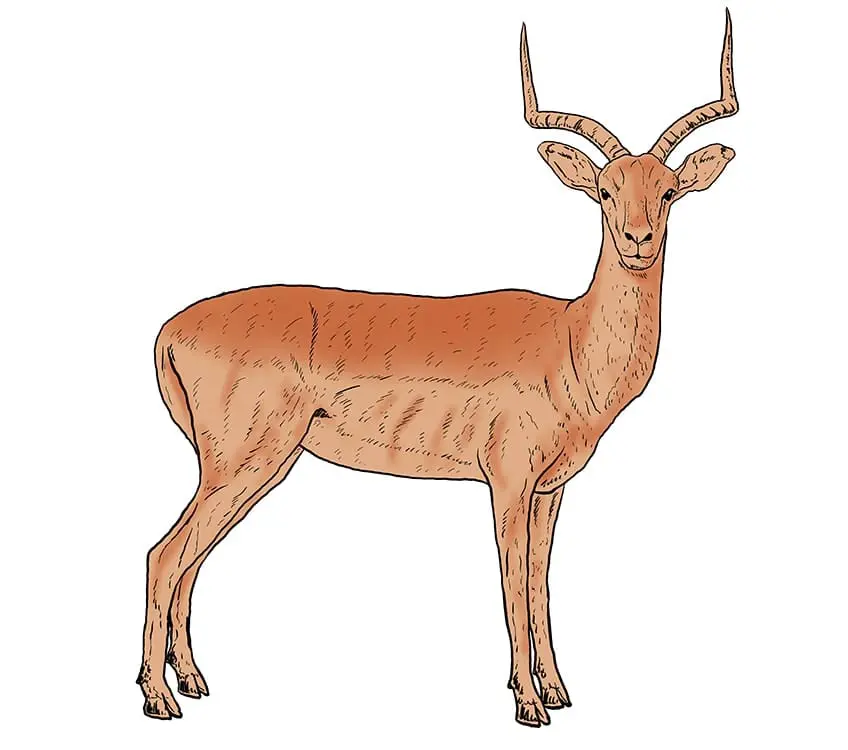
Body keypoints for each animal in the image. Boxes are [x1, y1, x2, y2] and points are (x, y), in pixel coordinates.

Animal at [138, 11, 739, 726]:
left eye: (668, 190)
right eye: (603, 191)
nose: (638, 241)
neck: (569, 342)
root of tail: (169, 330)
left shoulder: (551, 490)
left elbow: (541, 583)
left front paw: (557, 691)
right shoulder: (507, 483)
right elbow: (512, 585)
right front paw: (529, 704)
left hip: (246, 470)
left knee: (188, 559)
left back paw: (192, 682)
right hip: (243, 463)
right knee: (164, 555)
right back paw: (158, 699)